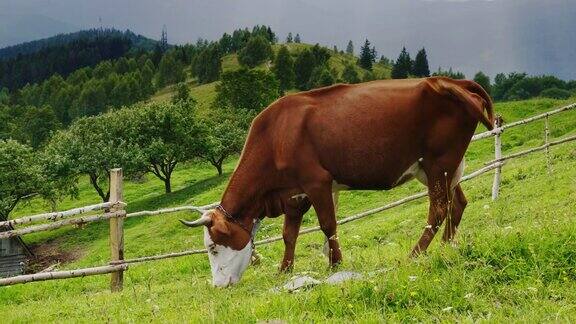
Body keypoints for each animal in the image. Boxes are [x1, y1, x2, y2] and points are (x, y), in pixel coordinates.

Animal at [182, 77, 492, 288]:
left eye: (212, 247)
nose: (218, 286)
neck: (276, 135)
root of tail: (447, 81)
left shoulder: (317, 182)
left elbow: (328, 225)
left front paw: (336, 263)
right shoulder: (293, 194)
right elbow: (289, 234)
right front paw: (284, 269)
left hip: (438, 162)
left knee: (438, 209)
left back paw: (415, 254)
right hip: (440, 169)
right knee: (457, 203)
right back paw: (446, 246)